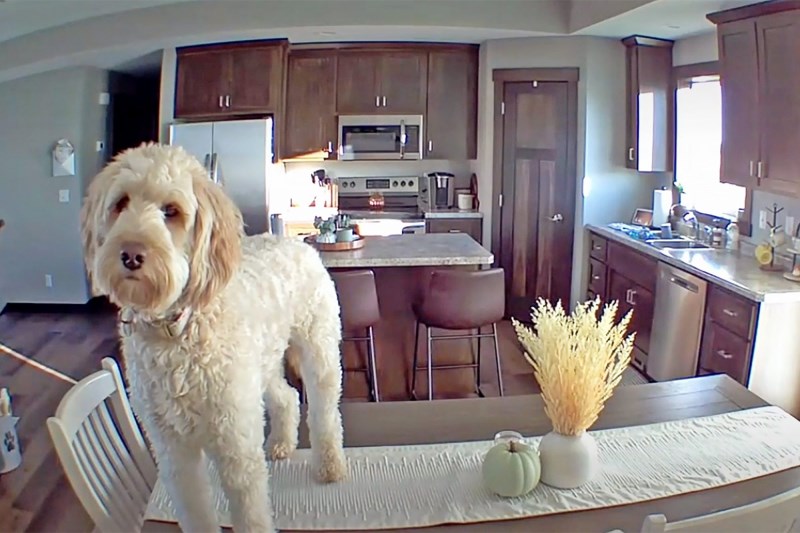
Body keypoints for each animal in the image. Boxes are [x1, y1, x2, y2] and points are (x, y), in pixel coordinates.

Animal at [79, 142, 348, 532]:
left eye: (171, 211)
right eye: (120, 203)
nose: (130, 254)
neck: (176, 331)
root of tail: (297, 243)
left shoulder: (236, 445)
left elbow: (251, 515)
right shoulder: (173, 451)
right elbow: (195, 509)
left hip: (320, 352)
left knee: (325, 413)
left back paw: (330, 465)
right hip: (261, 366)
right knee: (286, 397)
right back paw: (281, 443)